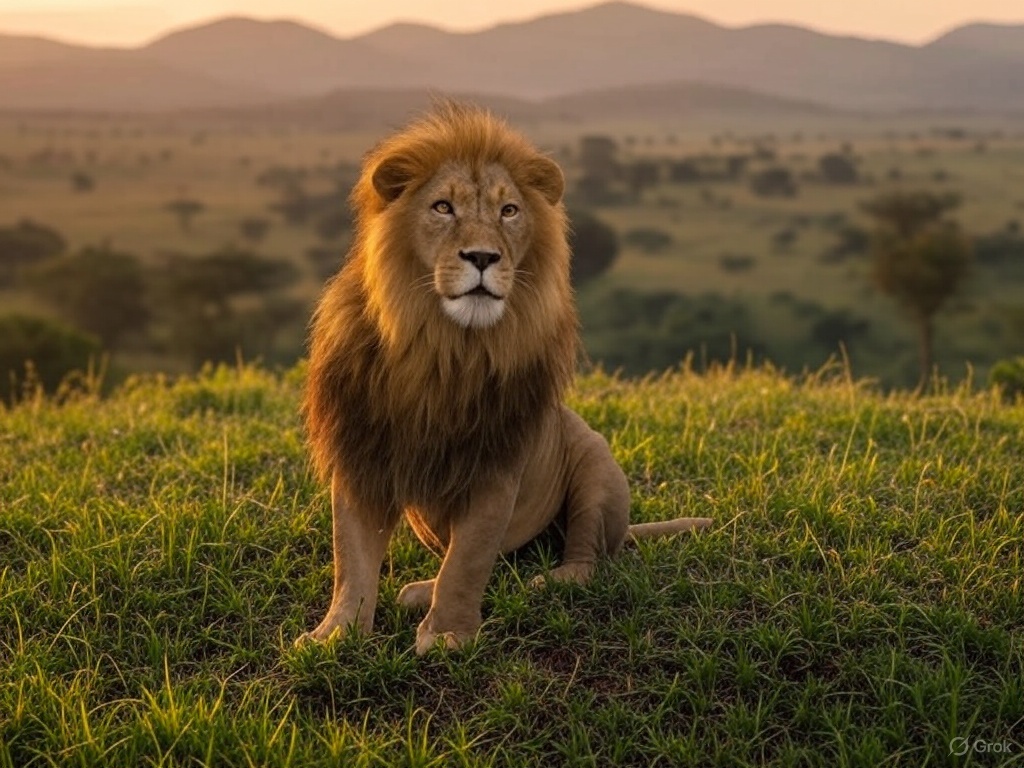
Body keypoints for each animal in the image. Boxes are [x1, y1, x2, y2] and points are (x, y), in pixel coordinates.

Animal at [299, 103, 711, 655]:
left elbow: (467, 559)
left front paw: (448, 633)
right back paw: (418, 590)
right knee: (500, 563)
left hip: (595, 465)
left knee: (584, 560)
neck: (443, 349)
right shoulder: (360, 450)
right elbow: (352, 557)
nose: (482, 257)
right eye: (443, 207)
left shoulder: (496, 461)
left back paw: (546, 579)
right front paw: (336, 635)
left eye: (509, 211)